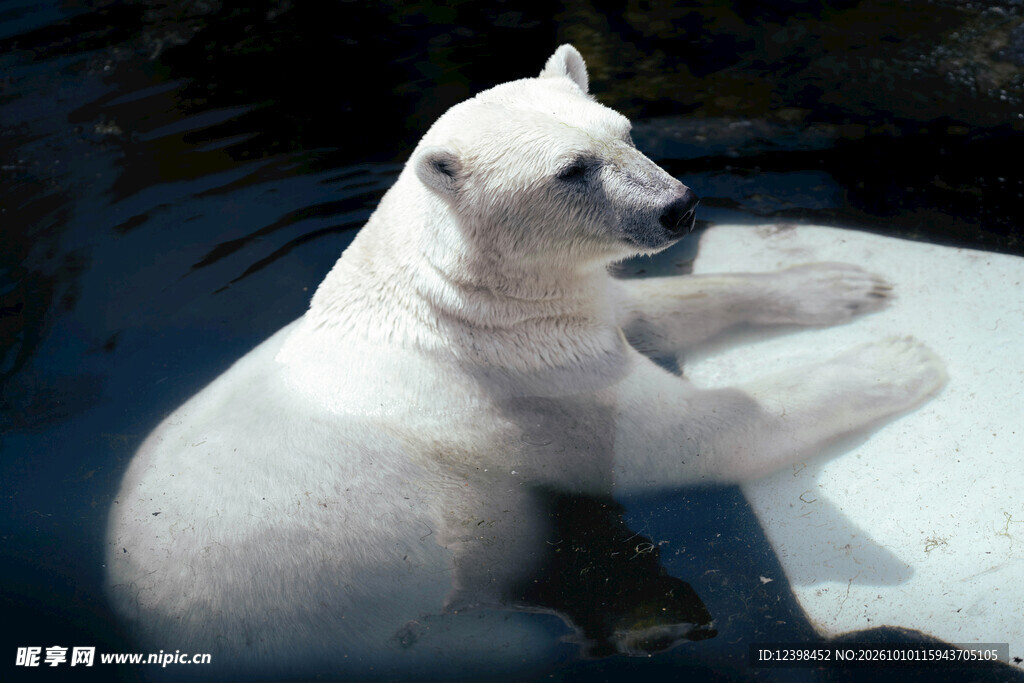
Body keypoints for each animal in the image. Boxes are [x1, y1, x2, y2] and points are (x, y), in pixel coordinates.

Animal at [106, 45, 946, 677]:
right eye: (571, 169)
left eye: (624, 129)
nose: (679, 206)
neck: (447, 300)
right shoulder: (527, 390)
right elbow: (693, 435)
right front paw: (898, 358)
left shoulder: (557, 326)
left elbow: (639, 310)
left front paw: (840, 284)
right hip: (359, 628)